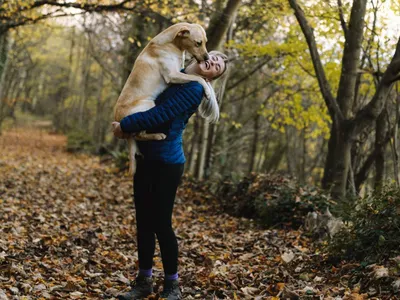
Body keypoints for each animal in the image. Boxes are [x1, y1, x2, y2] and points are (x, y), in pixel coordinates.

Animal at [112, 22, 212, 176]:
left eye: (205, 42)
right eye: (198, 43)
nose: (207, 58)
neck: (172, 44)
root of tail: (118, 118)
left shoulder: (179, 72)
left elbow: (195, 76)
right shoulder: (172, 75)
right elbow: (197, 78)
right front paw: (206, 89)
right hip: (148, 105)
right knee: (139, 134)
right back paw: (157, 135)